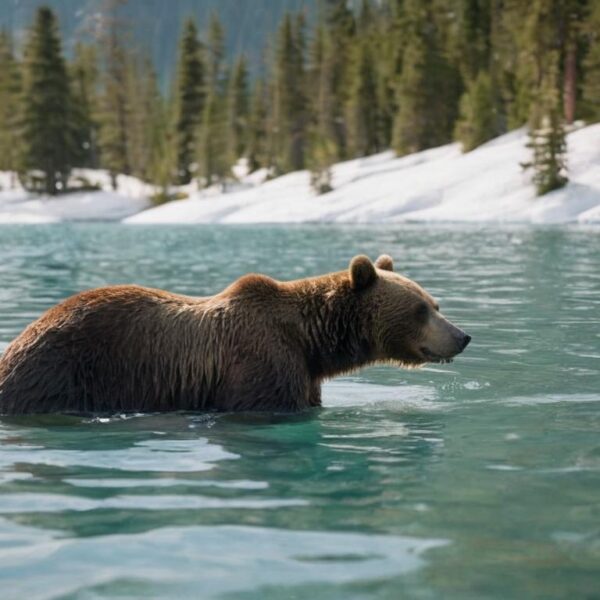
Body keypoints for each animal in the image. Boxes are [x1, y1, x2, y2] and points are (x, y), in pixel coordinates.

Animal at [0, 255, 468, 414]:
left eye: (436, 303)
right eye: (421, 308)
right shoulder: (262, 359)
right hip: (62, 370)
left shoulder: (305, 375)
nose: (462, 336)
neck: (310, 341)